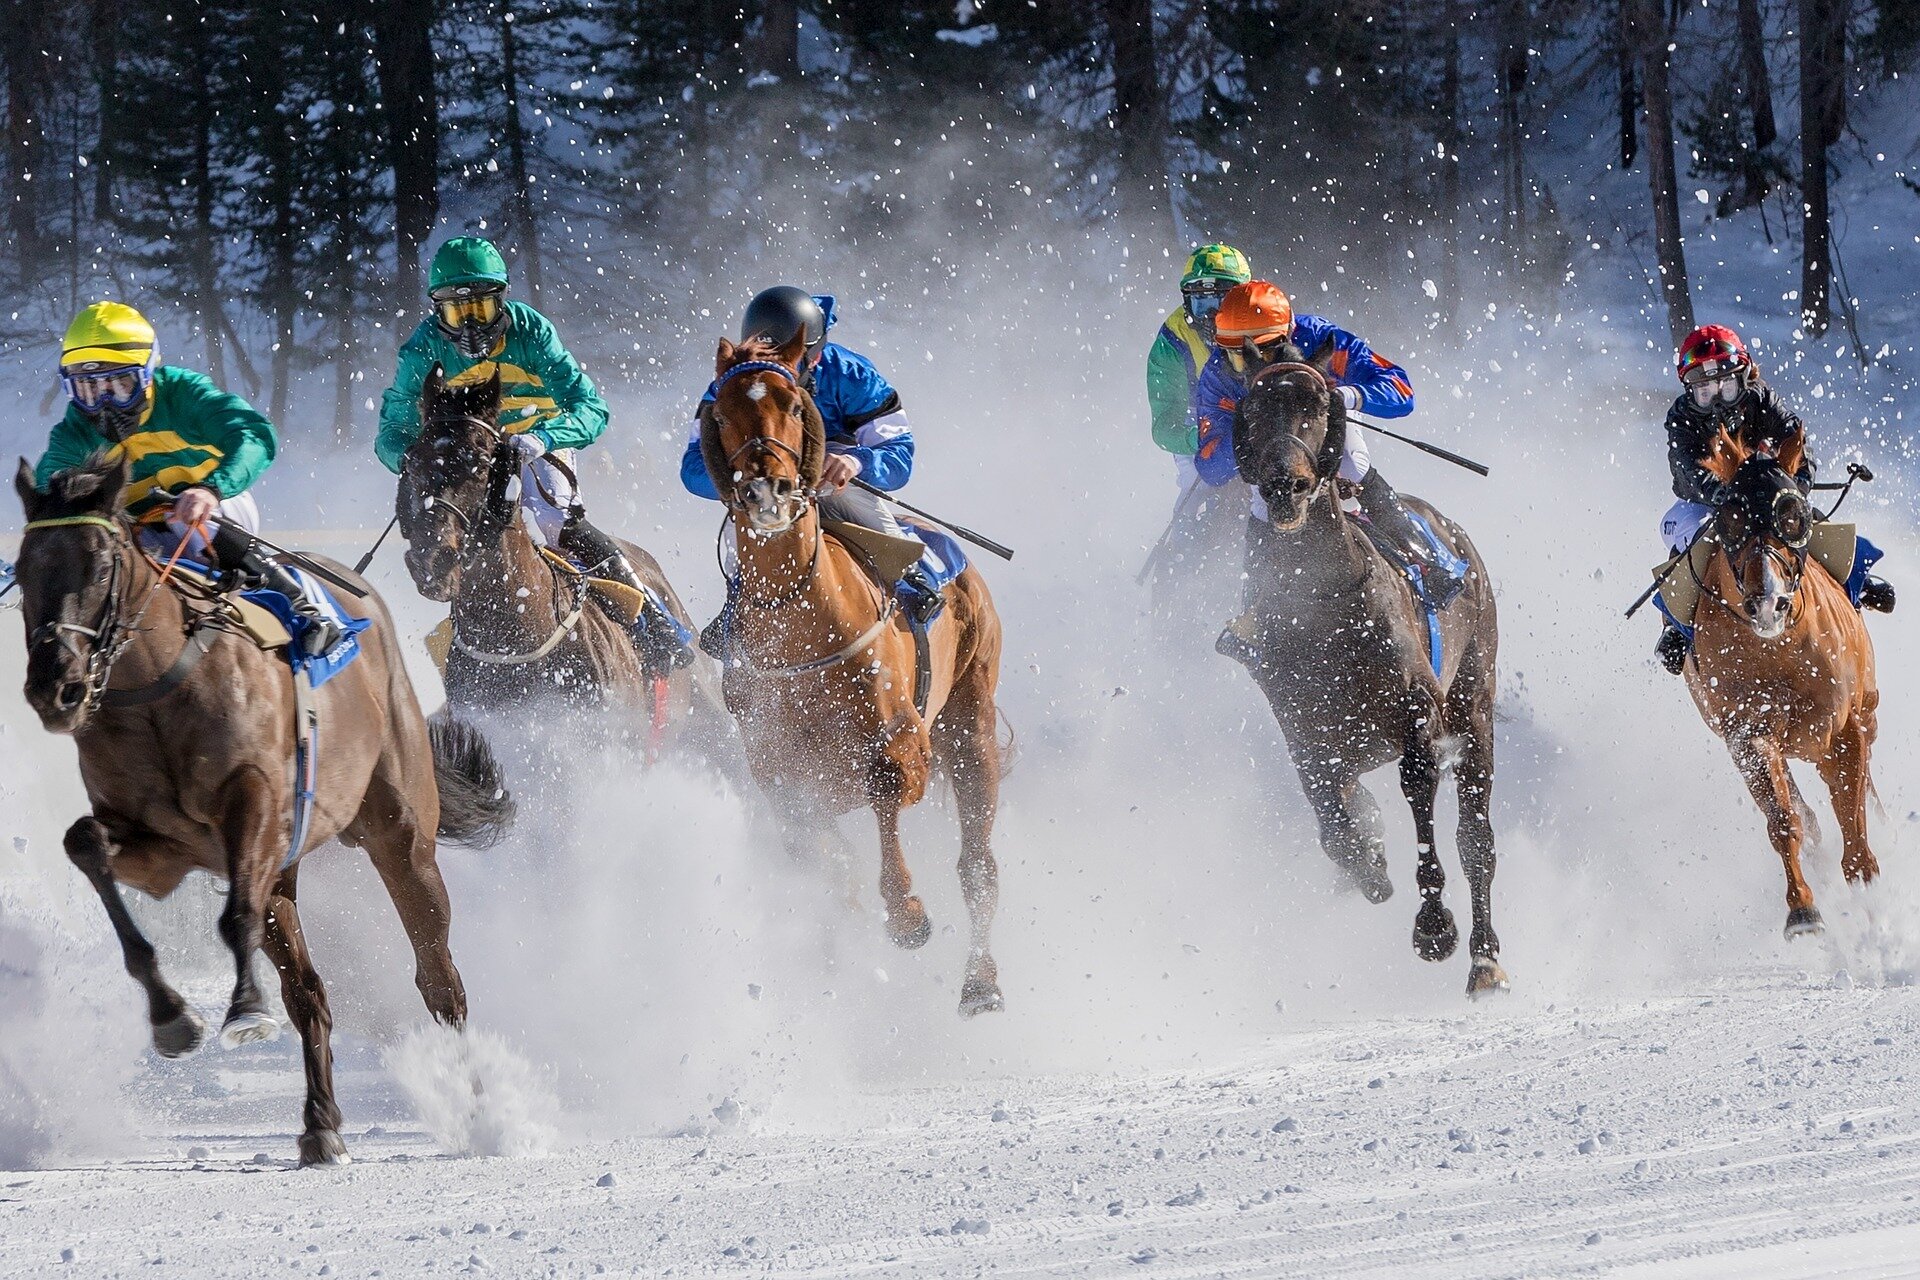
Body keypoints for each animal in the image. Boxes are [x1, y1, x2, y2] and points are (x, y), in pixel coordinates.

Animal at [9, 454, 518, 1166]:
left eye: (101, 565)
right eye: (23, 567)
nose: (56, 687)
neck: (160, 688)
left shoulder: (254, 806)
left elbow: (236, 915)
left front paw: (245, 1010)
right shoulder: (159, 848)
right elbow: (85, 844)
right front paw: (173, 1018)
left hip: (401, 830)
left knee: (439, 976)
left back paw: (481, 1108)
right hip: (287, 867)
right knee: (309, 993)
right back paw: (320, 1124)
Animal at [702, 335, 1006, 1013]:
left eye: (794, 403)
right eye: (722, 409)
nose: (766, 490)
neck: (800, 623)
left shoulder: (904, 740)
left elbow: (887, 788)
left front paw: (908, 913)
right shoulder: (780, 771)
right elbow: (819, 853)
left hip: (970, 717)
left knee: (977, 864)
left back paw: (981, 982)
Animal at [1221, 355, 1505, 997]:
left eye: (1317, 407)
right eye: (1251, 410)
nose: (1285, 485)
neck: (1322, 610)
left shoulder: (1419, 716)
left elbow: (1420, 796)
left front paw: (1434, 928)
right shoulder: (1306, 733)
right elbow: (1334, 824)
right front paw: (1369, 861)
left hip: (1475, 698)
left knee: (1476, 840)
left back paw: (1484, 960)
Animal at [1681, 426, 1873, 936]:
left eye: (1793, 515)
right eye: (1731, 518)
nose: (1768, 603)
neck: (1779, 651)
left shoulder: (1845, 726)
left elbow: (1851, 808)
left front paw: (1867, 883)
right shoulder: (1748, 734)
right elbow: (1784, 819)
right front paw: (1803, 910)